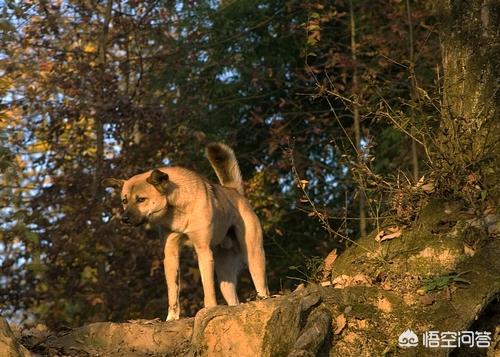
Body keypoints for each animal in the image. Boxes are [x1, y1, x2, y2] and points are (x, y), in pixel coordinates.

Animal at [102, 142, 270, 320]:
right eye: (124, 201)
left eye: (141, 199)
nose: (124, 219)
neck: (176, 208)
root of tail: (234, 191)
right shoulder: (170, 255)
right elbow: (173, 292)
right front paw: (171, 318)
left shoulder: (203, 250)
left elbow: (207, 288)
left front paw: (209, 308)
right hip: (225, 274)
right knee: (233, 298)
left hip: (254, 255)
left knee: (262, 287)